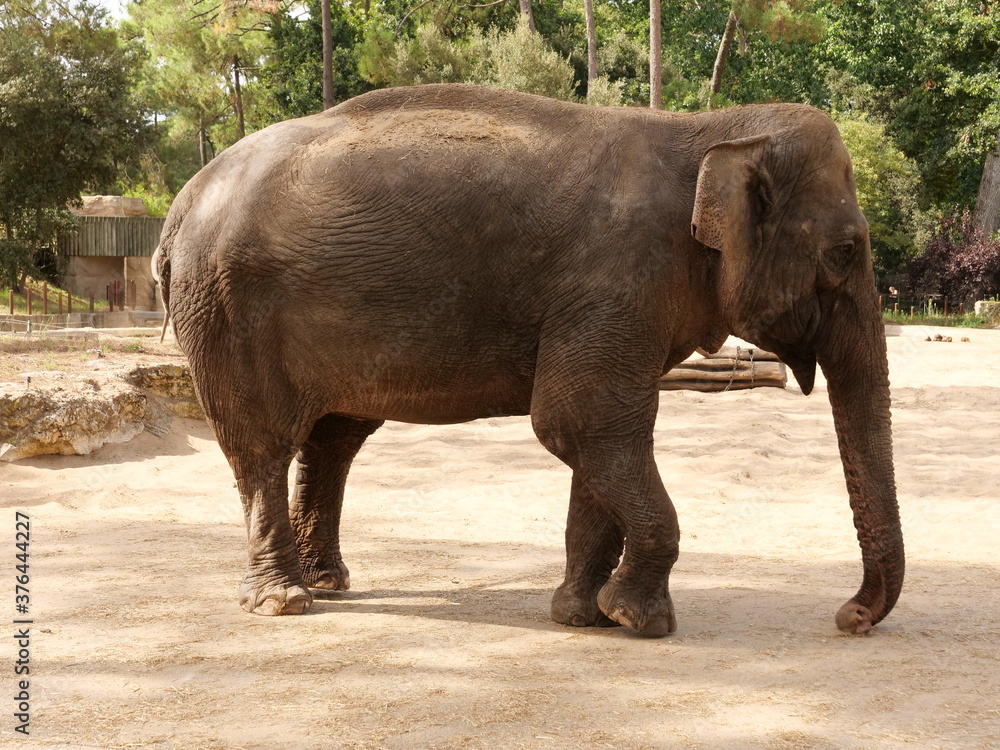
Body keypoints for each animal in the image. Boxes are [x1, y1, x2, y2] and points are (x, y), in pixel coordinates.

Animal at [154, 83, 902, 637]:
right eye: (845, 252)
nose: (849, 617)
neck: (709, 131)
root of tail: (181, 203)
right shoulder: (615, 282)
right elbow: (581, 420)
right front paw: (640, 619)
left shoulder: (620, 301)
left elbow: (598, 436)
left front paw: (580, 615)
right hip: (225, 309)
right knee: (262, 446)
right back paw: (283, 602)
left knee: (334, 438)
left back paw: (329, 583)